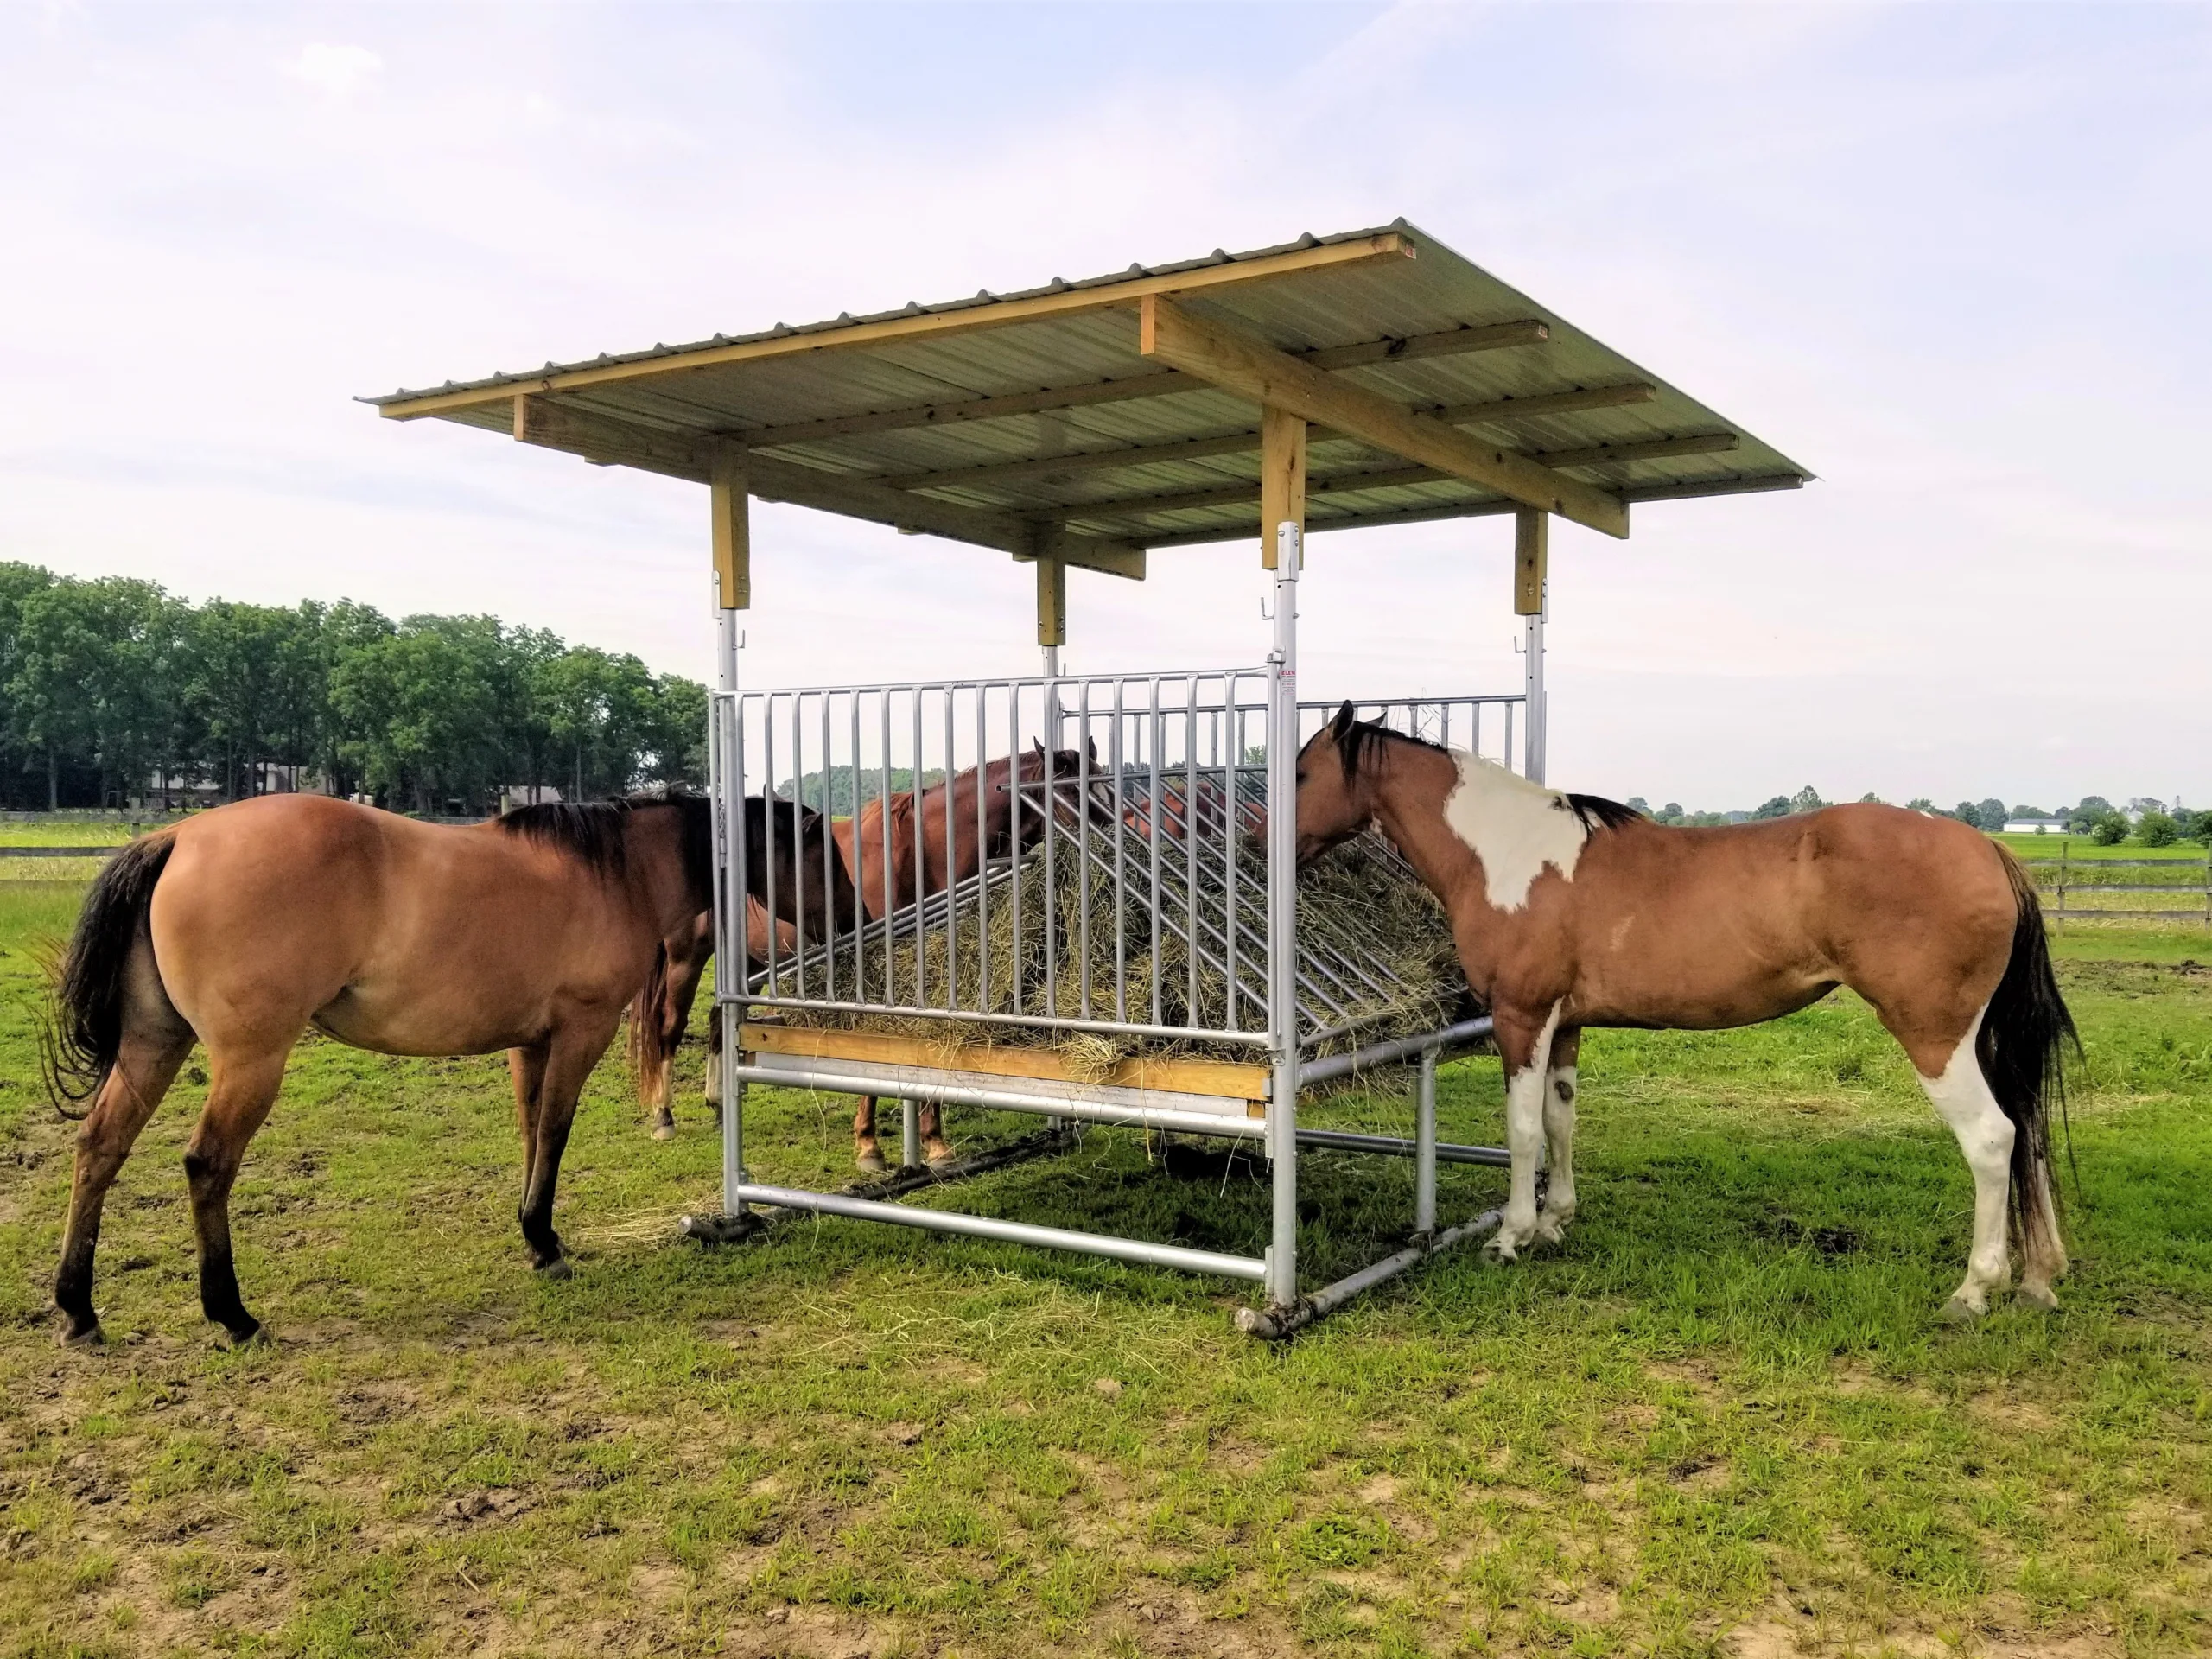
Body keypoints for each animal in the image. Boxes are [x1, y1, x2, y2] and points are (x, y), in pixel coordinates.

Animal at [45, 791, 854, 1353]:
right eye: (823, 854)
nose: (853, 916)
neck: (614, 872)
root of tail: (178, 837)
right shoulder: (580, 1033)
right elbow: (555, 1132)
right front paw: (545, 1239)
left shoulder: (530, 1043)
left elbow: (531, 1133)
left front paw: (536, 1238)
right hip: (251, 1060)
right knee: (207, 1164)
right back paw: (232, 1314)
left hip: (153, 1045)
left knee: (99, 1147)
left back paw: (78, 1308)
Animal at [1292, 703, 2079, 1327]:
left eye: (1300, 773)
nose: (1265, 834)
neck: (1506, 855)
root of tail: (1990, 849)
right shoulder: (1566, 1025)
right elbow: (1560, 1122)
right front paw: (1556, 1221)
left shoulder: (1523, 1019)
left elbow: (1521, 1132)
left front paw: (1511, 1235)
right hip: (1982, 1042)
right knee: (2029, 1135)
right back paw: (2040, 1278)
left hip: (1935, 1037)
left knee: (1993, 1140)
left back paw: (1975, 1290)